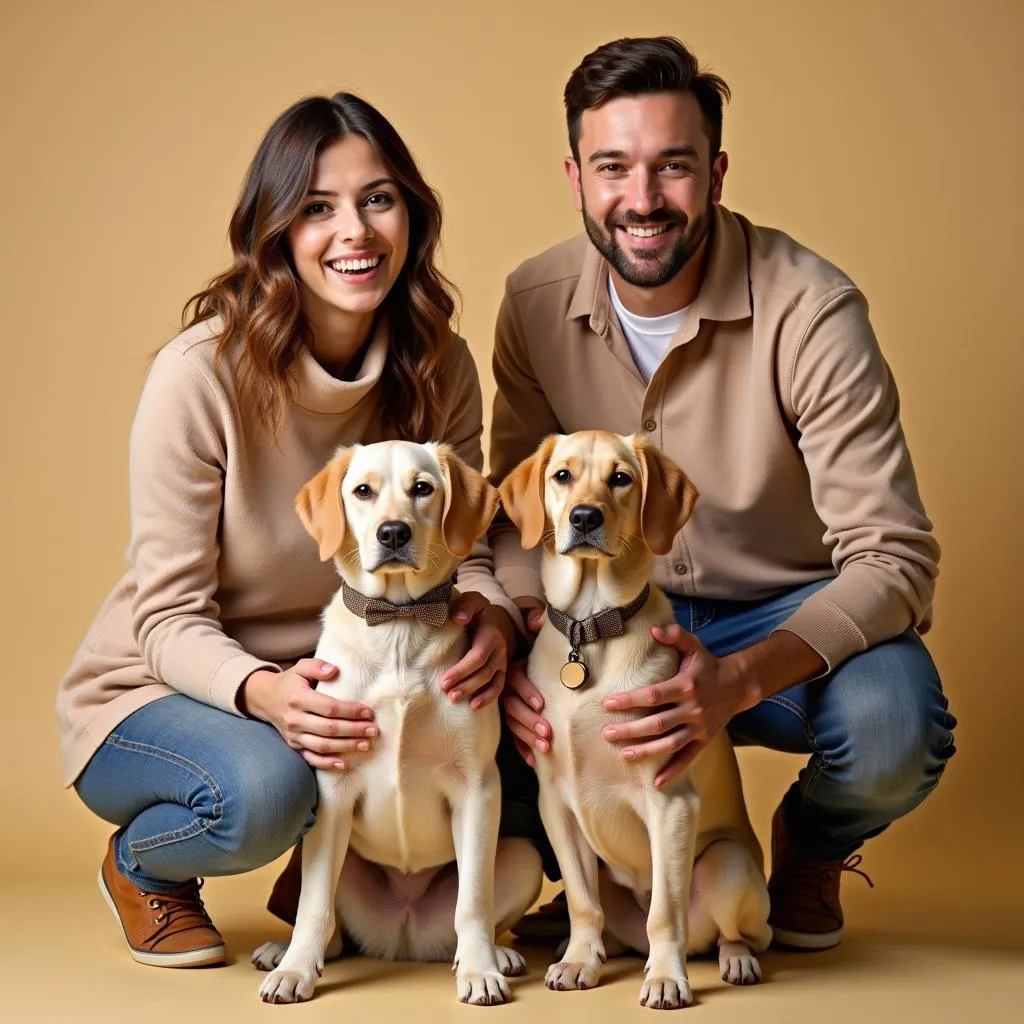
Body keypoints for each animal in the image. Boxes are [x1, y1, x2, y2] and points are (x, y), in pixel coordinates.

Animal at [256, 436, 544, 1003]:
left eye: (422, 488)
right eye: (363, 491)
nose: (393, 532)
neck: (397, 624)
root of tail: (401, 937)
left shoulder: (477, 786)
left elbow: (473, 903)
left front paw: (481, 970)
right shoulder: (332, 784)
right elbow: (314, 907)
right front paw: (296, 971)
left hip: (523, 854)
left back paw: (495, 955)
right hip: (310, 849)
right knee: (328, 926)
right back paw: (285, 952)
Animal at [495, 430, 770, 1007]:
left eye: (620, 478)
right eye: (562, 476)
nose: (584, 517)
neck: (590, 627)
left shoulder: (670, 802)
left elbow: (664, 913)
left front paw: (665, 978)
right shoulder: (556, 802)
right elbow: (582, 902)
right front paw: (579, 962)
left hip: (726, 863)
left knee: (736, 933)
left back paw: (735, 959)